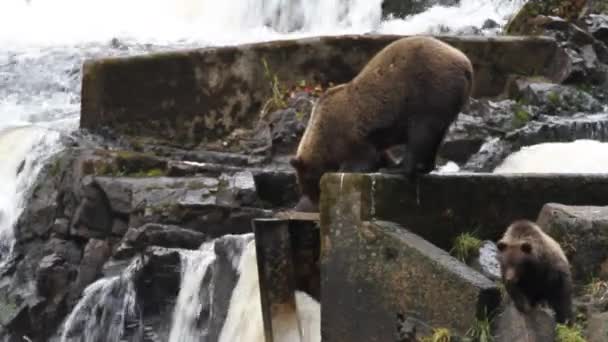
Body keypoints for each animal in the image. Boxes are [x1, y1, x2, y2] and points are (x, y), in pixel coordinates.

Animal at [290, 35, 476, 211]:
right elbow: (379, 154)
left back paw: (398, 169)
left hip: (428, 91)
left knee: (420, 134)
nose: (311, 203)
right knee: (435, 136)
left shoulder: (350, 134)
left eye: (305, 184)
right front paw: (387, 162)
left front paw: (347, 169)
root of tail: (465, 63)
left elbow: (362, 159)